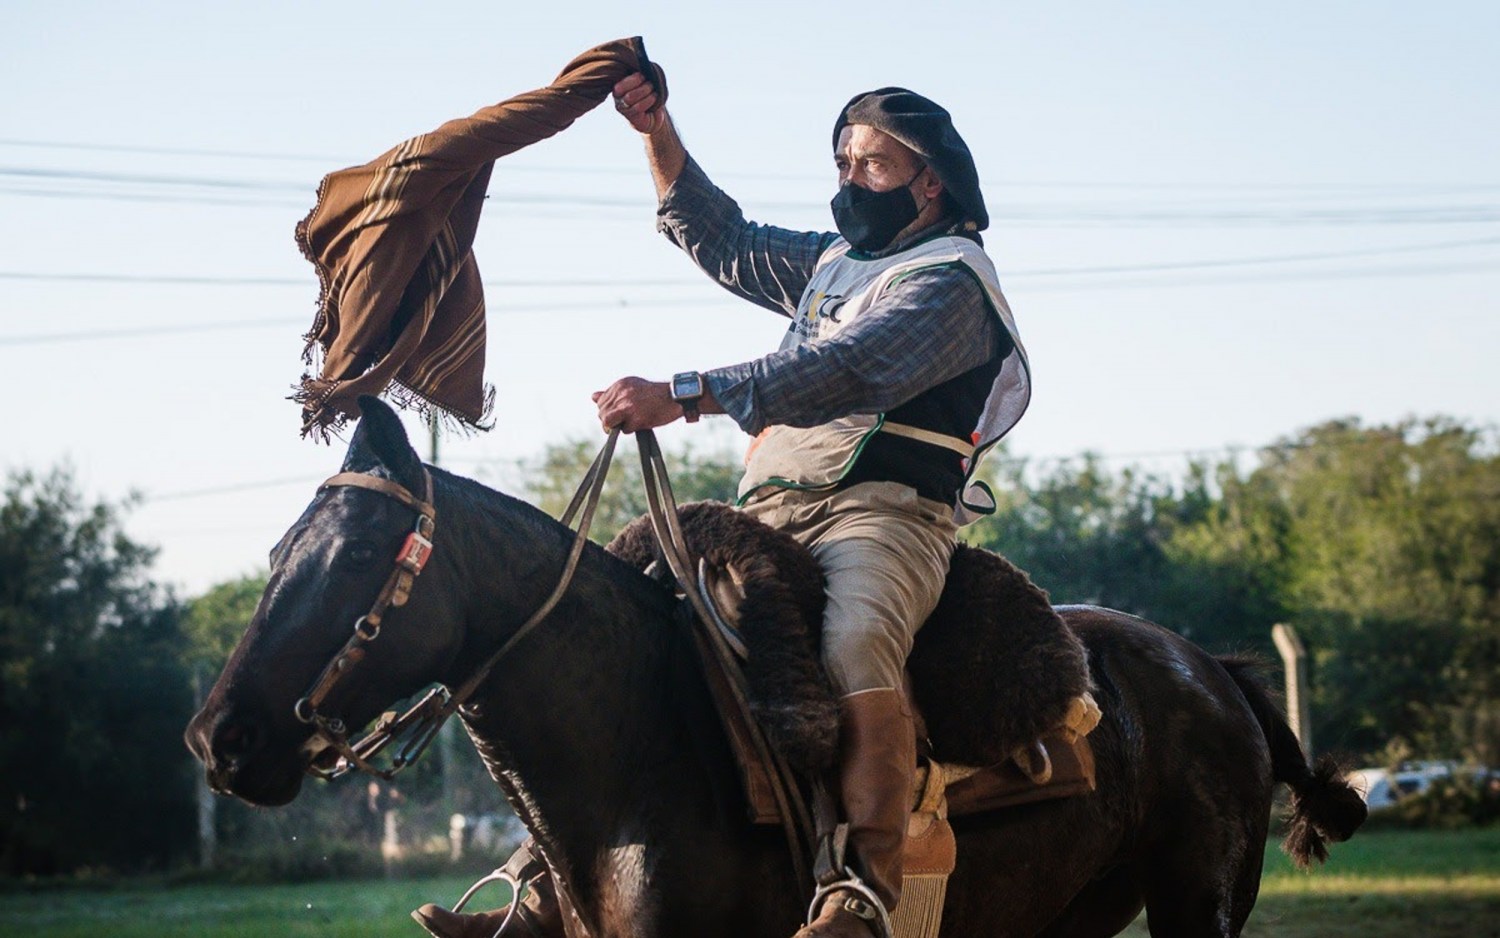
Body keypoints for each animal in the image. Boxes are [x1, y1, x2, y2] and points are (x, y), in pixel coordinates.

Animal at [184, 399, 1362, 936]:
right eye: (280, 550)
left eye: (360, 556)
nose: (221, 737)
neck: (635, 750)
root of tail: (1211, 668)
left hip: (1197, 900)